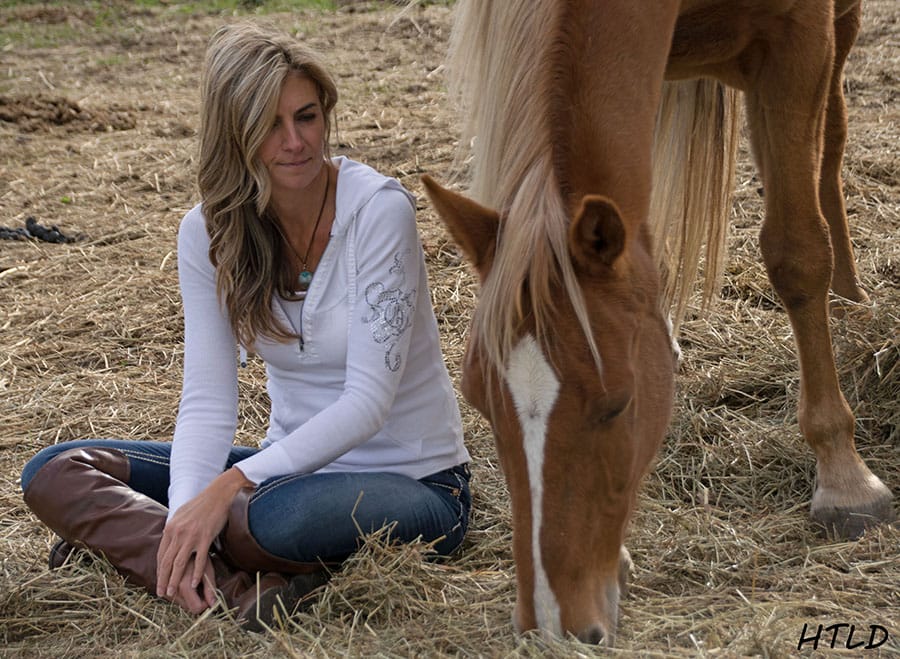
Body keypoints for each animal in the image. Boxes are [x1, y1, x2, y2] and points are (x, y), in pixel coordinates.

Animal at [422, 0, 895, 647]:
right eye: (477, 400)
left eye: (618, 404)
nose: (555, 621)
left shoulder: (799, 41)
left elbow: (797, 252)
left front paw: (845, 478)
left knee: (832, 143)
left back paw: (849, 295)